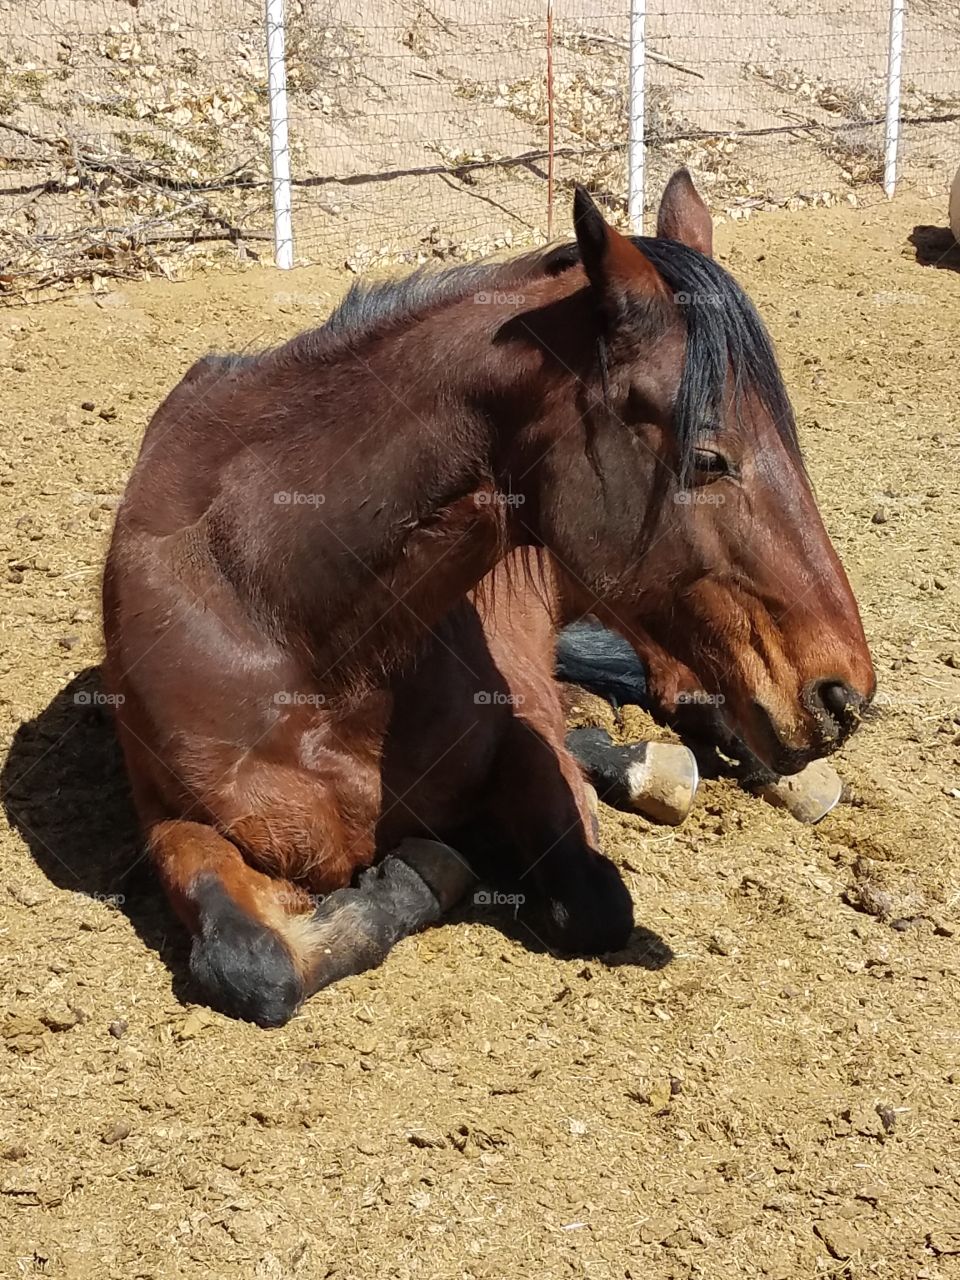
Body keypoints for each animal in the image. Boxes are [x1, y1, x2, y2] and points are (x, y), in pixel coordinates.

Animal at [102, 169, 875, 1026]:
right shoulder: (172, 816)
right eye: (710, 457)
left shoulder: (521, 737)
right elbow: (252, 964)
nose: (844, 695)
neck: (281, 618)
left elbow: (597, 899)